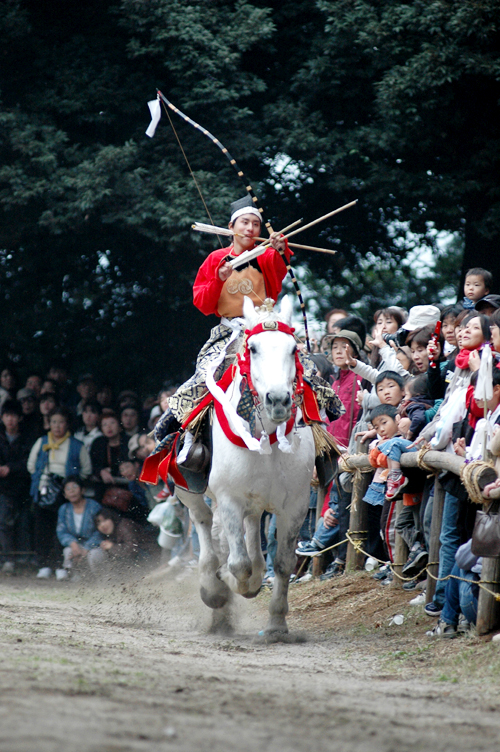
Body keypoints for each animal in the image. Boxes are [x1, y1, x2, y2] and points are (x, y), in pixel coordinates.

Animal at [176, 296, 314, 636]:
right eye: (253, 348)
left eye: (293, 348)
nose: (278, 400)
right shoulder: (229, 499)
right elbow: (237, 563)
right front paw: (228, 583)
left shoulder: (296, 504)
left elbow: (283, 563)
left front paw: (277, 624)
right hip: (189, 491)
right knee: (204, 525)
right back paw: (213, 591)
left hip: (256, 503)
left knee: (250, 531)